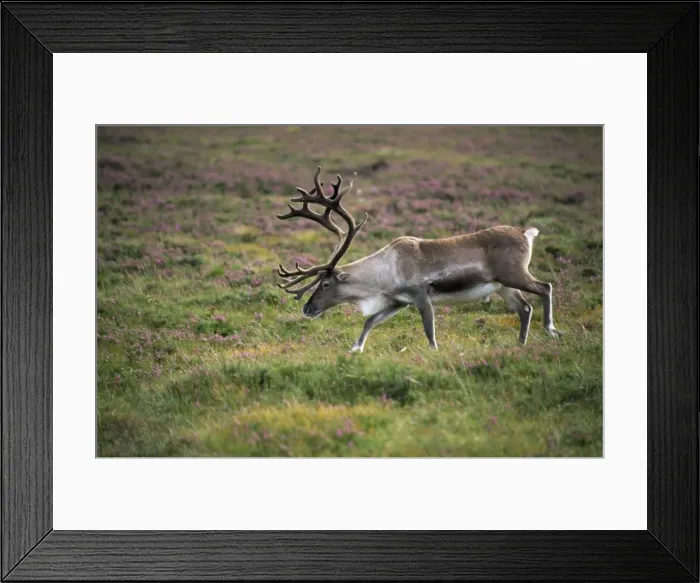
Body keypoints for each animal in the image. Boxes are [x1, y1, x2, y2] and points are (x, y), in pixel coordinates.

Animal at [276, 166, 562, 353]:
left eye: (325, 284)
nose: (307, 308)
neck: (385, 273)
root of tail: (526, 233)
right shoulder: (398, 302)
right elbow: (370, 321)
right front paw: (355, 349)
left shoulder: (421, 295)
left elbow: (429, 330)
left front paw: (435, 353)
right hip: (503, 286)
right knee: (525, 308)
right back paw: (520, 344)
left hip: (514, 274)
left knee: (545, 287)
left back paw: (550, 329)